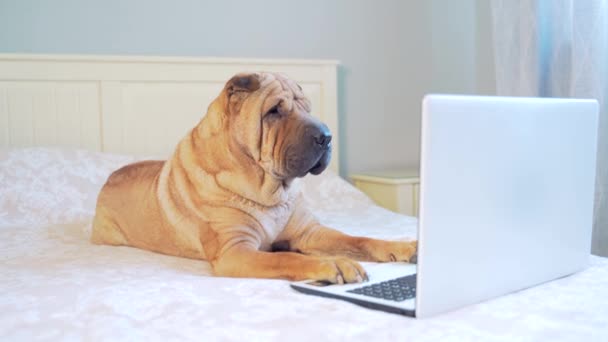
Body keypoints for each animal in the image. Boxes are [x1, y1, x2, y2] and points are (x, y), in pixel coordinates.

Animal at [91, 71, 418, 284]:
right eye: (274, 111)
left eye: (306, 107)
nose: (326, 136)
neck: (269, 190)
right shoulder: (236, 250)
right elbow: (288, 258)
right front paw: (333, 263)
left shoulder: (309, 232)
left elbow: (359, 238)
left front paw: (406, 247)